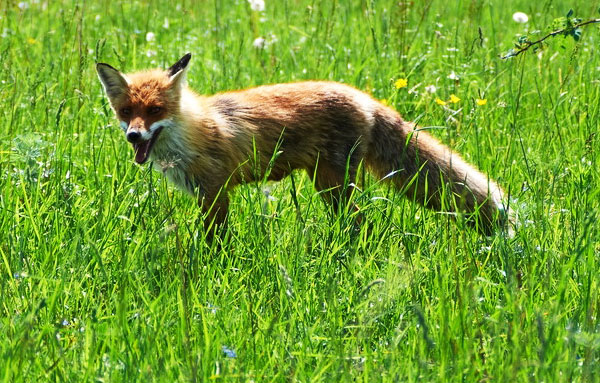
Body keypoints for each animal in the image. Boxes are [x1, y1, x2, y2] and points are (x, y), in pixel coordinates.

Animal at [96, 53, 508, 236]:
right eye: (127, 111)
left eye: (155, 110)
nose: (134, 135)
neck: (190, 132)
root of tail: (363, 97)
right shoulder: (205, 194)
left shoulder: (215, 191)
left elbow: (215, 240)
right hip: (328, 183)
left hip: (332, 185)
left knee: (360, 222)